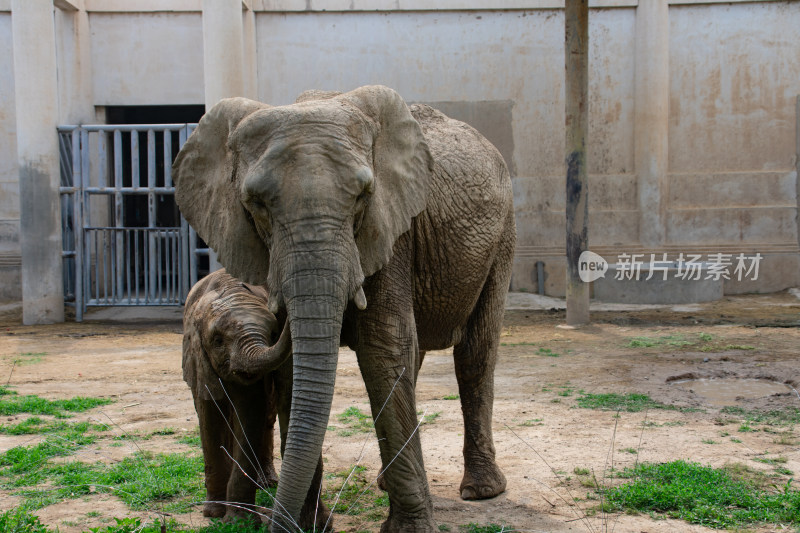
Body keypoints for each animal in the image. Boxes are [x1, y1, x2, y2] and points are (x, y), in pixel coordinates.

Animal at [183, 268, 330, 524]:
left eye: (273, 334)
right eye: (218, 341)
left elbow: (250, 411)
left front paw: (238, 520)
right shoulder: (199, 358)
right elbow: (209, 419)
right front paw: (214, 513)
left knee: (267, 418)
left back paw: (267, 483)